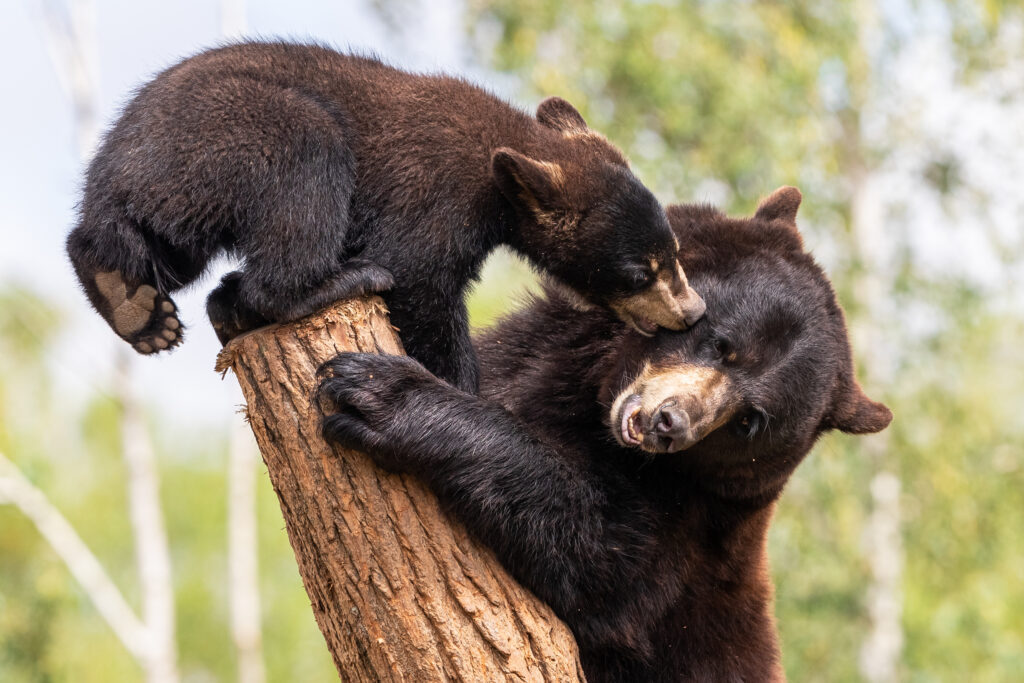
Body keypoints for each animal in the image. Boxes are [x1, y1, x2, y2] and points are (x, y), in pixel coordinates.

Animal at [65, 41, 705, 393]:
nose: (691, 311)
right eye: (638, 272)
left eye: (673, 252)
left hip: (178, 193)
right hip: (234, 132)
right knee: (306, 160)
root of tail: (110, 167)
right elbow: (419, 279)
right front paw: (462, 385)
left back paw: (136, 305)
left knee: (151, 247)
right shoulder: (433, 195)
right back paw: (327, 283)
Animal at [317, 186, 892, 681]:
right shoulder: (528, 354)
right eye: (722, 345)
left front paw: (380, 394)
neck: (596, 401)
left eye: (750, 420)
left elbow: (599, 557)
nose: (669, 424)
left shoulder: (688, 532)